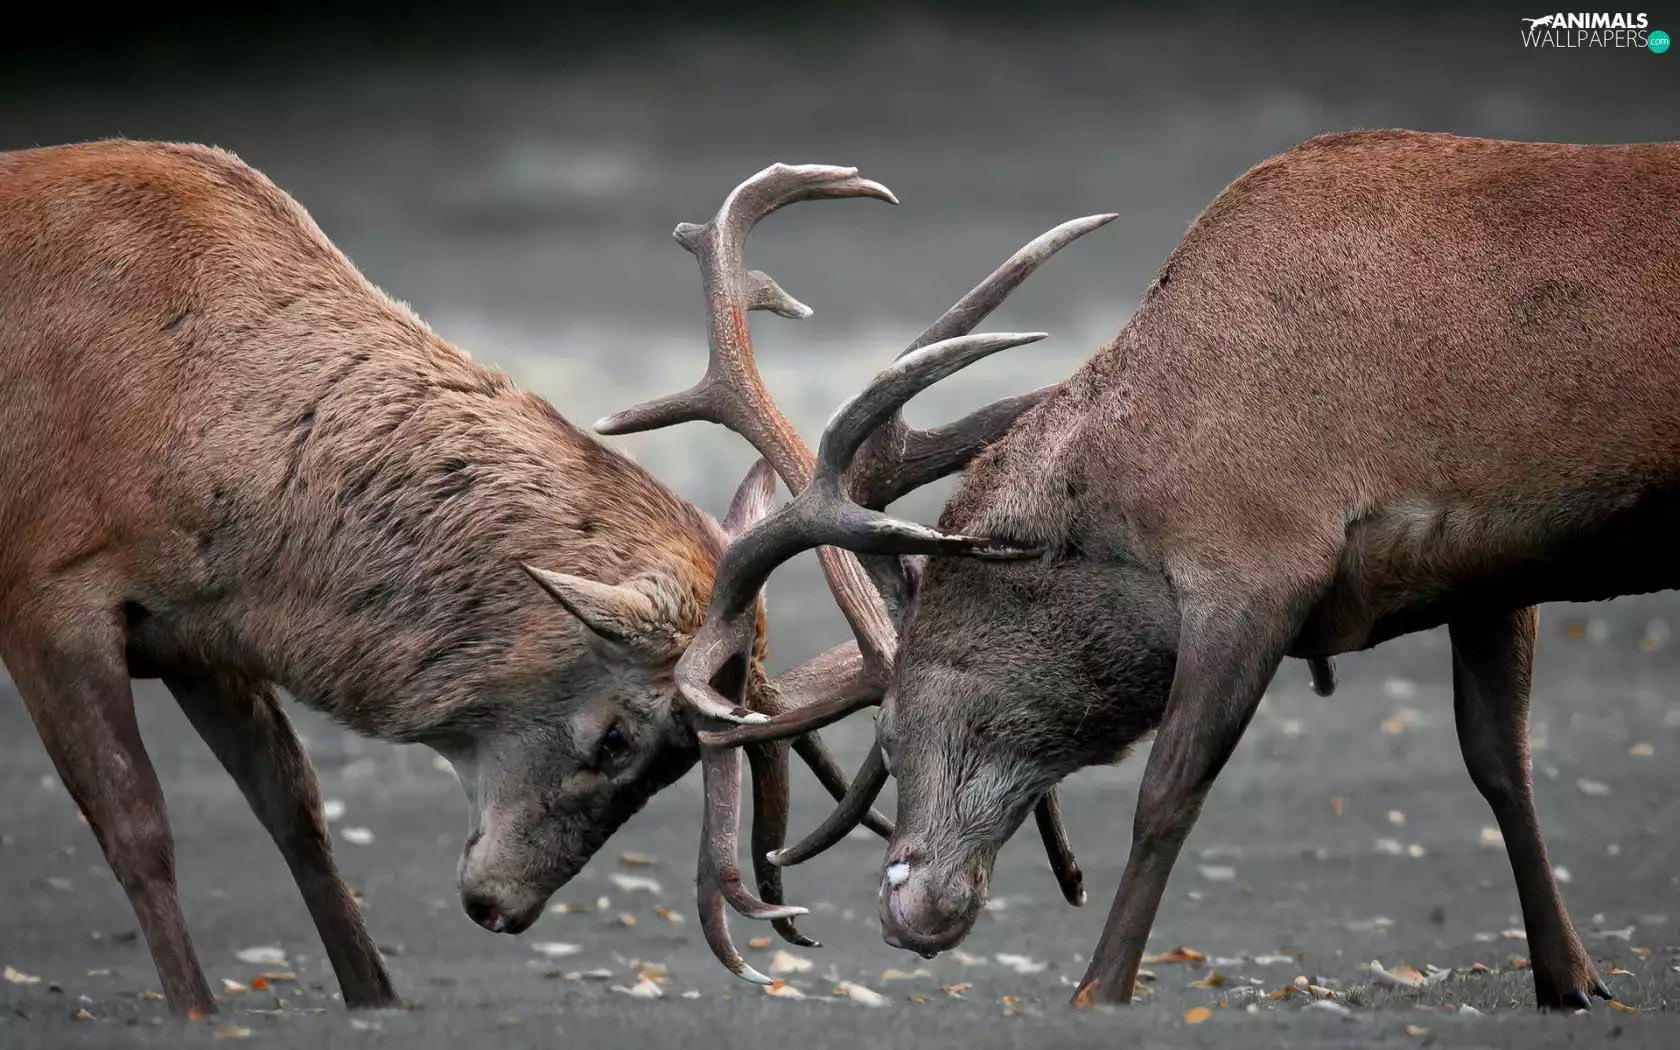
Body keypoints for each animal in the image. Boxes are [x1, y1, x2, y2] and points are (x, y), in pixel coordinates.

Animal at [0, 139, 1091, 1014]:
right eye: (617, 738)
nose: (501, 908)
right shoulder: (46, 589)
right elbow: (138, 828)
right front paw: (193, 1010)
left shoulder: (200, 630)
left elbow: (298, 813)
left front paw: (376, 1000)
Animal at [619, 129, 1680, 1013]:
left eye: (889, 724)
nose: (911, 909)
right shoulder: (1492, 568)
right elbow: (1502, 763)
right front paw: (1570, 979)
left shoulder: (1256, 559)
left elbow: (1167, 791)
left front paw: (1099, 988)